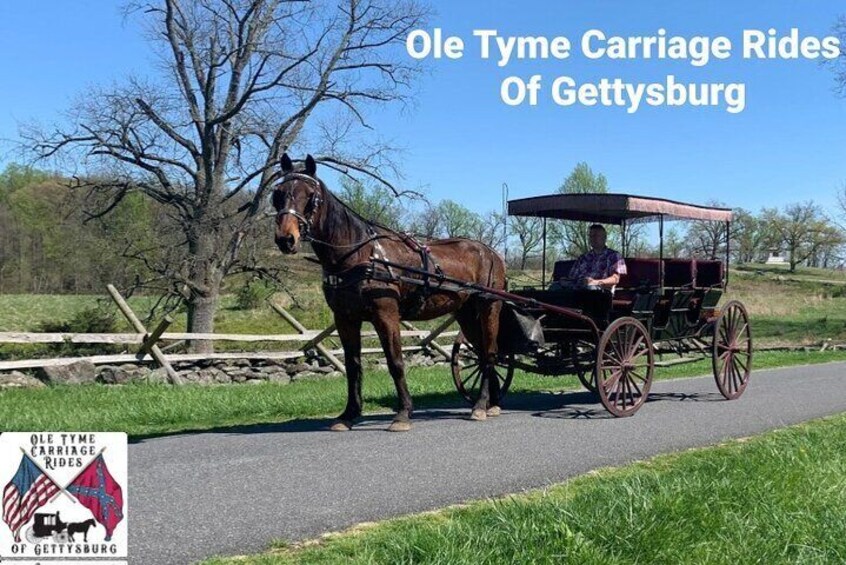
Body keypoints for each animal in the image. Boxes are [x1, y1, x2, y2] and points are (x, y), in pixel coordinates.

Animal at [274, 152, 506, 430]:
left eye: (311, 197)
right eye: (278, 194)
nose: (285, 239)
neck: (359, 256)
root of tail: (491, 252)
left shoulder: (385, 314)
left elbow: (395, 362)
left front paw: (403, 413)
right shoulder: (345, 318)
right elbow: (353, 365)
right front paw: (349, 414)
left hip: (489, 306)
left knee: (490, 354)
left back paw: (480, 406)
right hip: (466, 313)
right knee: (482, 353)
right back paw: (492, 403)